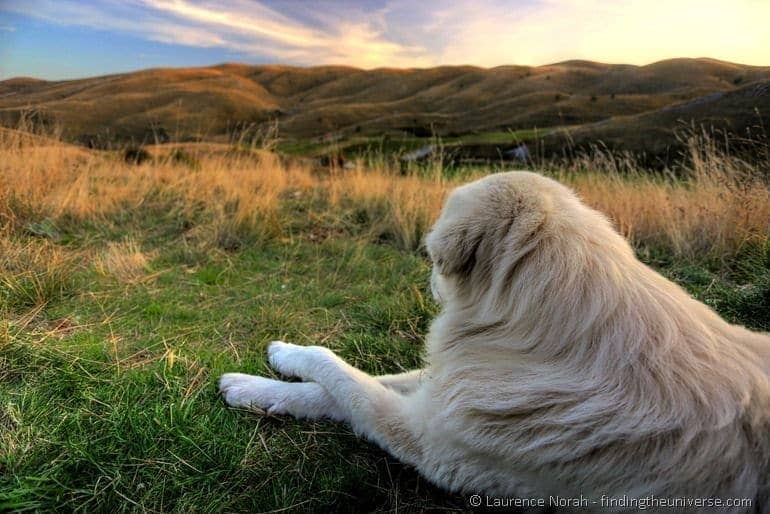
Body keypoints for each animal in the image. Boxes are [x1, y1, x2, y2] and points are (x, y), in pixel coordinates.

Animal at [218, 171, 768, 508]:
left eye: (433, 259)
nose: (428, 281)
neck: (552, 337)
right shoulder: (448, 393)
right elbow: (337, 388)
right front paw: (263, 379)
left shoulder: (432, 441)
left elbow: (343, 378)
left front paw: (284, 365)